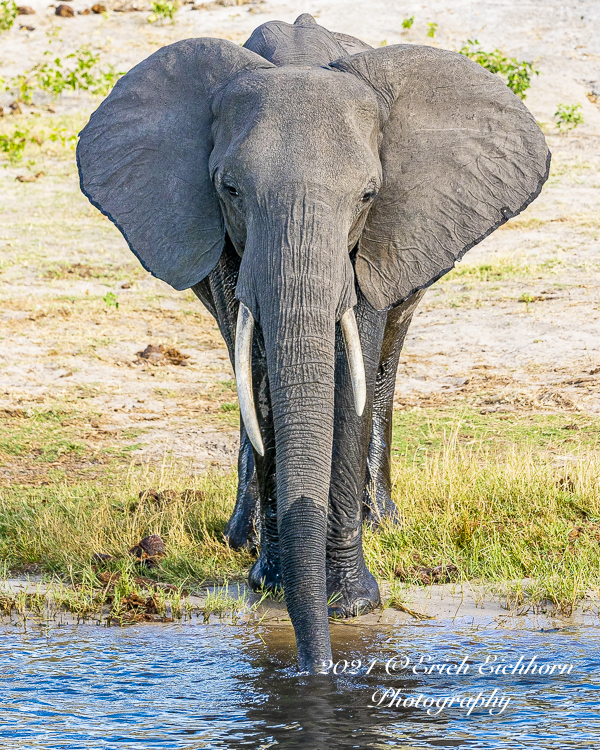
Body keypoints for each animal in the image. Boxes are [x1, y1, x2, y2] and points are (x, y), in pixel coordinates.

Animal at [77, 14, 552, 676]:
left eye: (368, 195)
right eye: (229, 189)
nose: (316, 670)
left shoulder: (385, 233)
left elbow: (351, 380)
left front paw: (351, 604)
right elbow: (259, 376)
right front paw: (271, 588)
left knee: (385, 361)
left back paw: (381, 523)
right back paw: (243, 538)